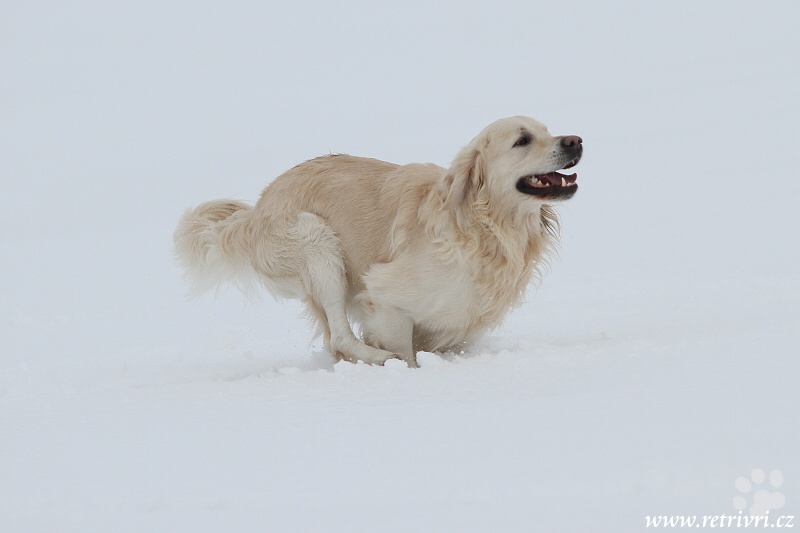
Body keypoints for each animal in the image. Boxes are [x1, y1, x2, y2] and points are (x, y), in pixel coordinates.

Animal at [174, 116, 582, 367]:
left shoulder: (458, 325)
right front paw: (406, 368)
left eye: (547, 130)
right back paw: (382, 361)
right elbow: (403, 346)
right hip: (318, 244)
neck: (484, 228)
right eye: (522, 140)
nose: (576, 140)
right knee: (339, 337)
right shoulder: (384, 299)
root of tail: (257, 210)